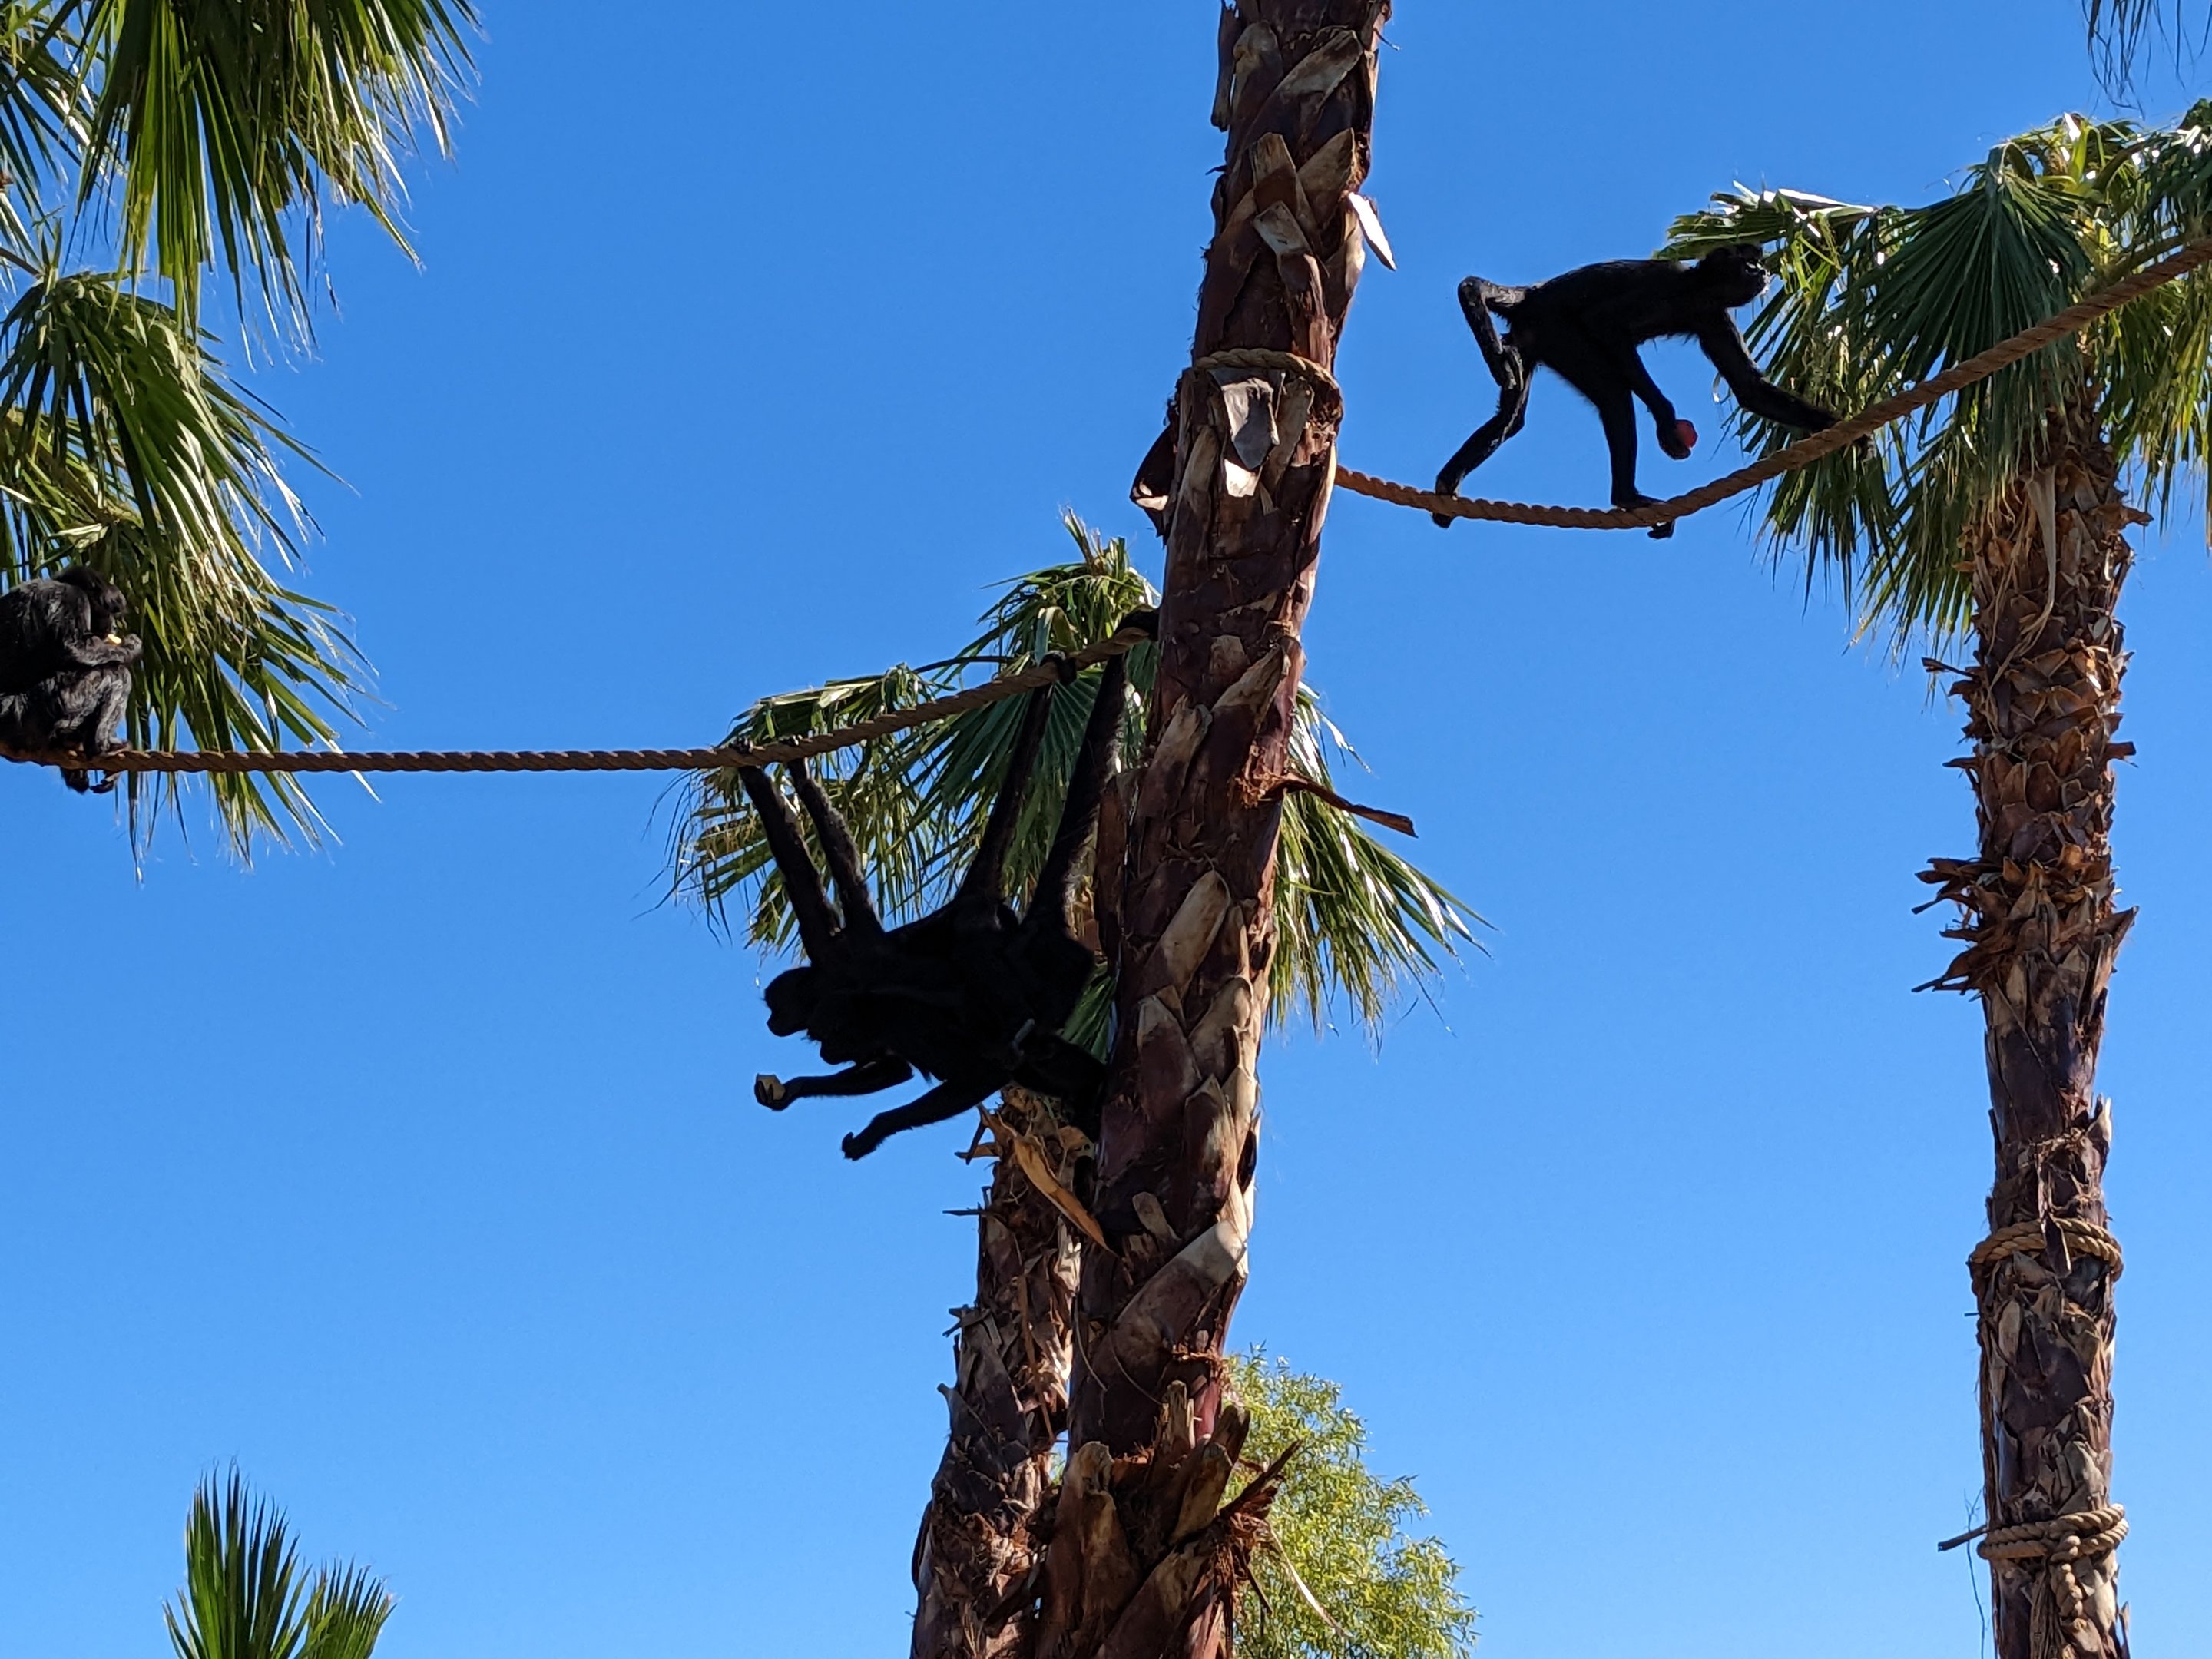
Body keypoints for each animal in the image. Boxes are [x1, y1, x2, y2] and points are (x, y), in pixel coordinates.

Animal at [0, 567, 141, 793]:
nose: (113, 626)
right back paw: (100, 746)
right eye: (110, 614)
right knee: (116, 673)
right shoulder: (73, 597)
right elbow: (74, 649)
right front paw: (131, 646)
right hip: (50, 705)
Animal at [743, 612, 1153, 1160]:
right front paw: (792, 1090)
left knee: (986, 973)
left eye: (775, 1008)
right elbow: (892, 1068)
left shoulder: (852, 967)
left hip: (1043, 965)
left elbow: (820, 881)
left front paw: (770, 778)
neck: (834, 983)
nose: (771, 1024)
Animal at [1433, 244, 1839, 538]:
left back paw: (1446, 484)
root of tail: (1533, 294)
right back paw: (1626, 497)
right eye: (1750, 263)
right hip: (1560, 333)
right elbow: (1606, 324)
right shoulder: (1664, 285)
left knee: (1511, 418)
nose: (1765, 272)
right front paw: (1666, 420)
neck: (1694, 291)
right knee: (1614, 394)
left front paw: (1840, 431)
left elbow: (1749, 389)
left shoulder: (1712, 315)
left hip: (1533, 337)